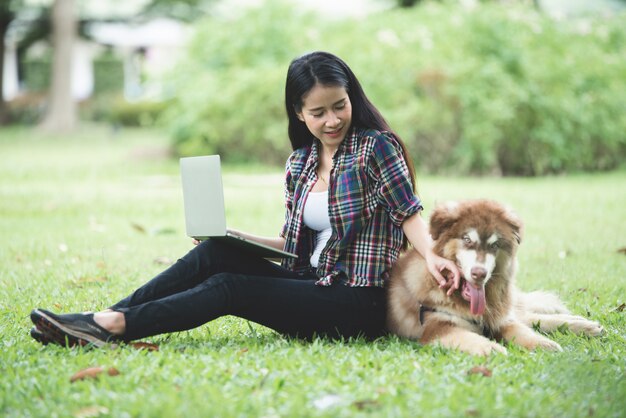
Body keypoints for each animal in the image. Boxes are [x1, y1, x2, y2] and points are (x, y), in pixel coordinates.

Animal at [386, 200, 600, 356]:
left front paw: (543, 344)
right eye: (467, 240)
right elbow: (470, 338)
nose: (479, 273)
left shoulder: (498, 321)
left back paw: (585, 325)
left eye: (494, 245)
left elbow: (522, 331)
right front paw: (493, 349)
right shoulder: (436, 328)